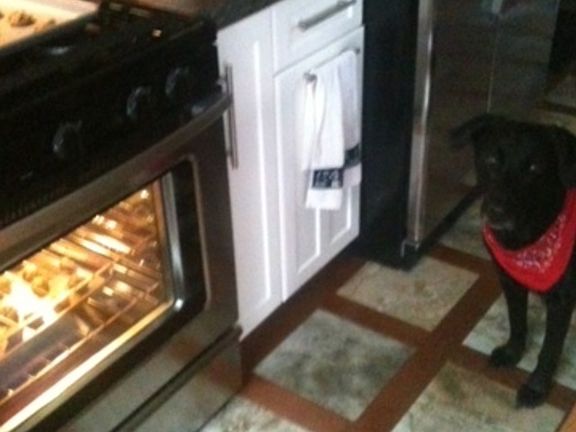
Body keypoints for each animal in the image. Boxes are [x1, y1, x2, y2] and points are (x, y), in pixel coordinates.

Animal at [453, 114, 576, 407]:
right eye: (491, 160)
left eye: (534, 167)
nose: (497, 210)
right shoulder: (510, 280)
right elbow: (517, 321)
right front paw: (512, 353)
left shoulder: (561, 301)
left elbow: (550, 349)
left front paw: (537, 387)